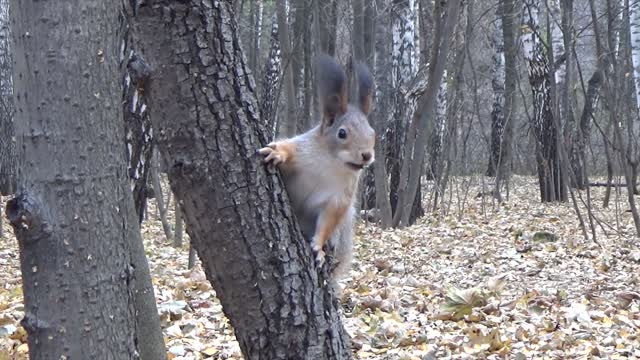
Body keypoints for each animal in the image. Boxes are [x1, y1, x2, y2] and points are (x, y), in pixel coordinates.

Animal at [258, 54, 376, 280]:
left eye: (373, 133)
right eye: (341, 133)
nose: (367, 155)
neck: (332, 163)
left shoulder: (340, 198)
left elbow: (328, 220)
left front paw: (318, 248)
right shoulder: (303, 149)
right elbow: (289, 149)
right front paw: (278, 153)